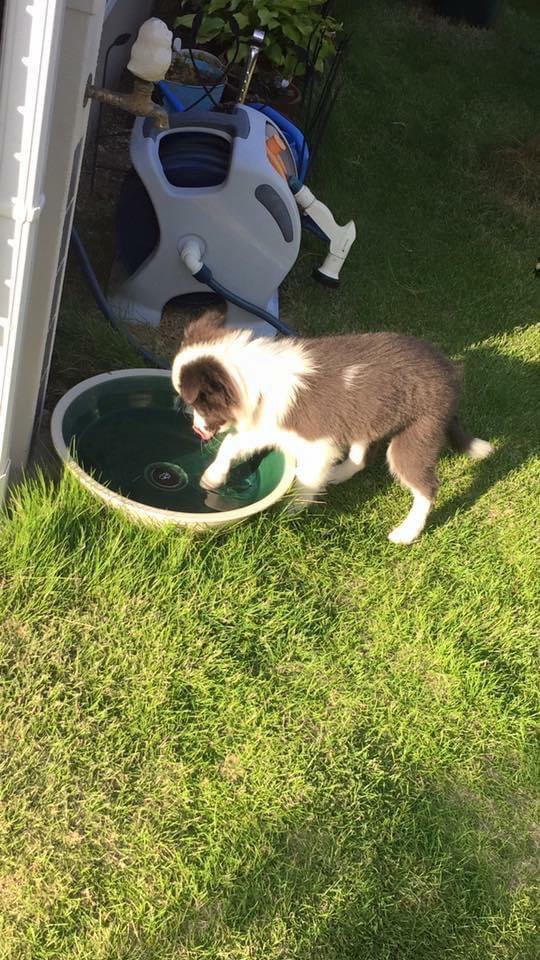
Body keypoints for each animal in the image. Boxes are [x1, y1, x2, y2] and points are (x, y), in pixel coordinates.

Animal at [173, 312, 494, 544]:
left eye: (200, 404)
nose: (196, 430)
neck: (255, 380)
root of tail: (449, 371)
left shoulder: (315, 443)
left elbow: (306, 480)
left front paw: (287, 514)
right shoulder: (269, 425)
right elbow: (233, 444)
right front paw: (212, 478)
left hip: (418, 430)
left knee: (426, 487)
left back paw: (407, 531)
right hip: (369, 416)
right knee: (362, 457)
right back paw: (338, 474)